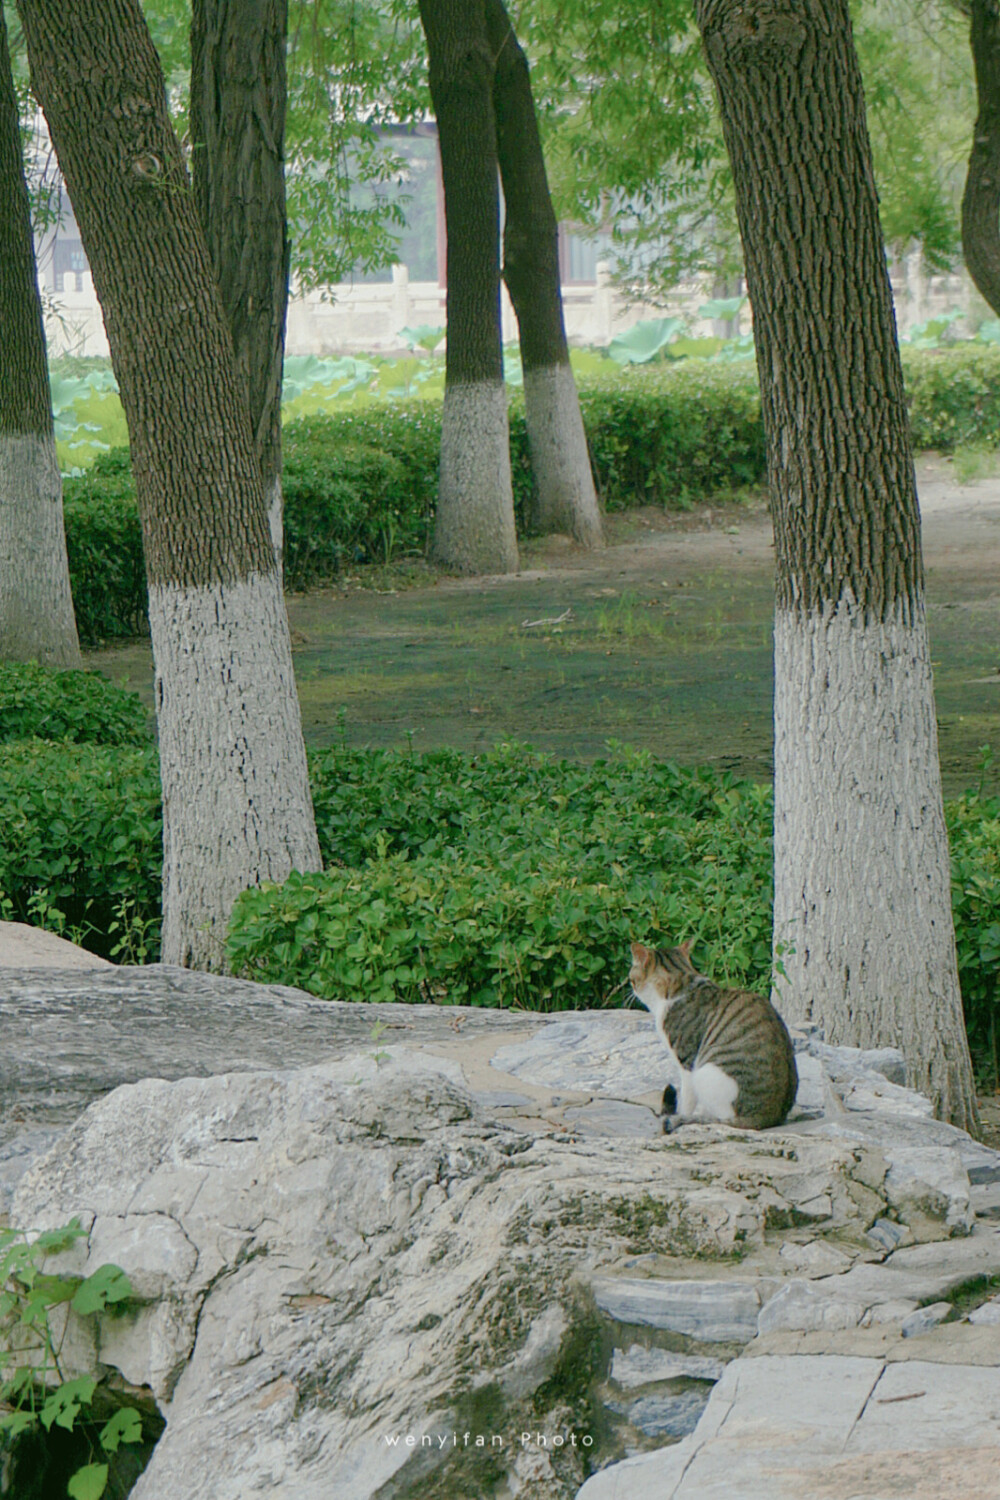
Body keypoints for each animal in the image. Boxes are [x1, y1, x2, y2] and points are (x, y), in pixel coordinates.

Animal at [632, 930, 797, 1128]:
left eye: (632, 979)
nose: (631, 989)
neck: (681, 983)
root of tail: (767, 1117)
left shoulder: (687, 1062)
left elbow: (687, 1100)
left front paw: (681, 1115)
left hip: (705, 1073)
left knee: (721, 1117)